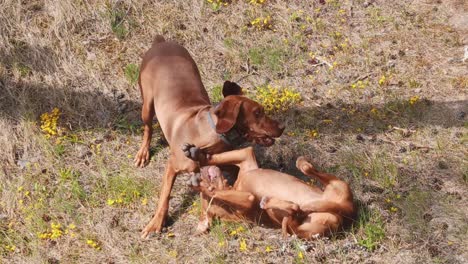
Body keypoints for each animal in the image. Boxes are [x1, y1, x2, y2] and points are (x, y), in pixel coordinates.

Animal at [133, 35, 284, 237]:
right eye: (257, 113)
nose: (282, 127)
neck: (208, 134)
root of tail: (161, 42)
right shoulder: (172, 166)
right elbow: (165, 196)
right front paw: (156, 222)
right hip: (147, 104)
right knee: (148, 128)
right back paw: (143, 153)